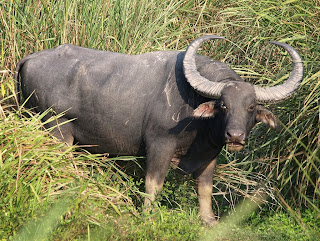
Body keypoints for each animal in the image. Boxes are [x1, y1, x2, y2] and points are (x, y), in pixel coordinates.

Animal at [15, 35, 304, 224]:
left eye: (251, 106)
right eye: (223, 104)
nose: (235, 136)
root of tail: (30, 58)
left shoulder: (209, 155)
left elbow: (205, 189)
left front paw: (209, 221)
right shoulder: (160, 145)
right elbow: (154, 183)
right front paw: (149, 216)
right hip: (56, 128)